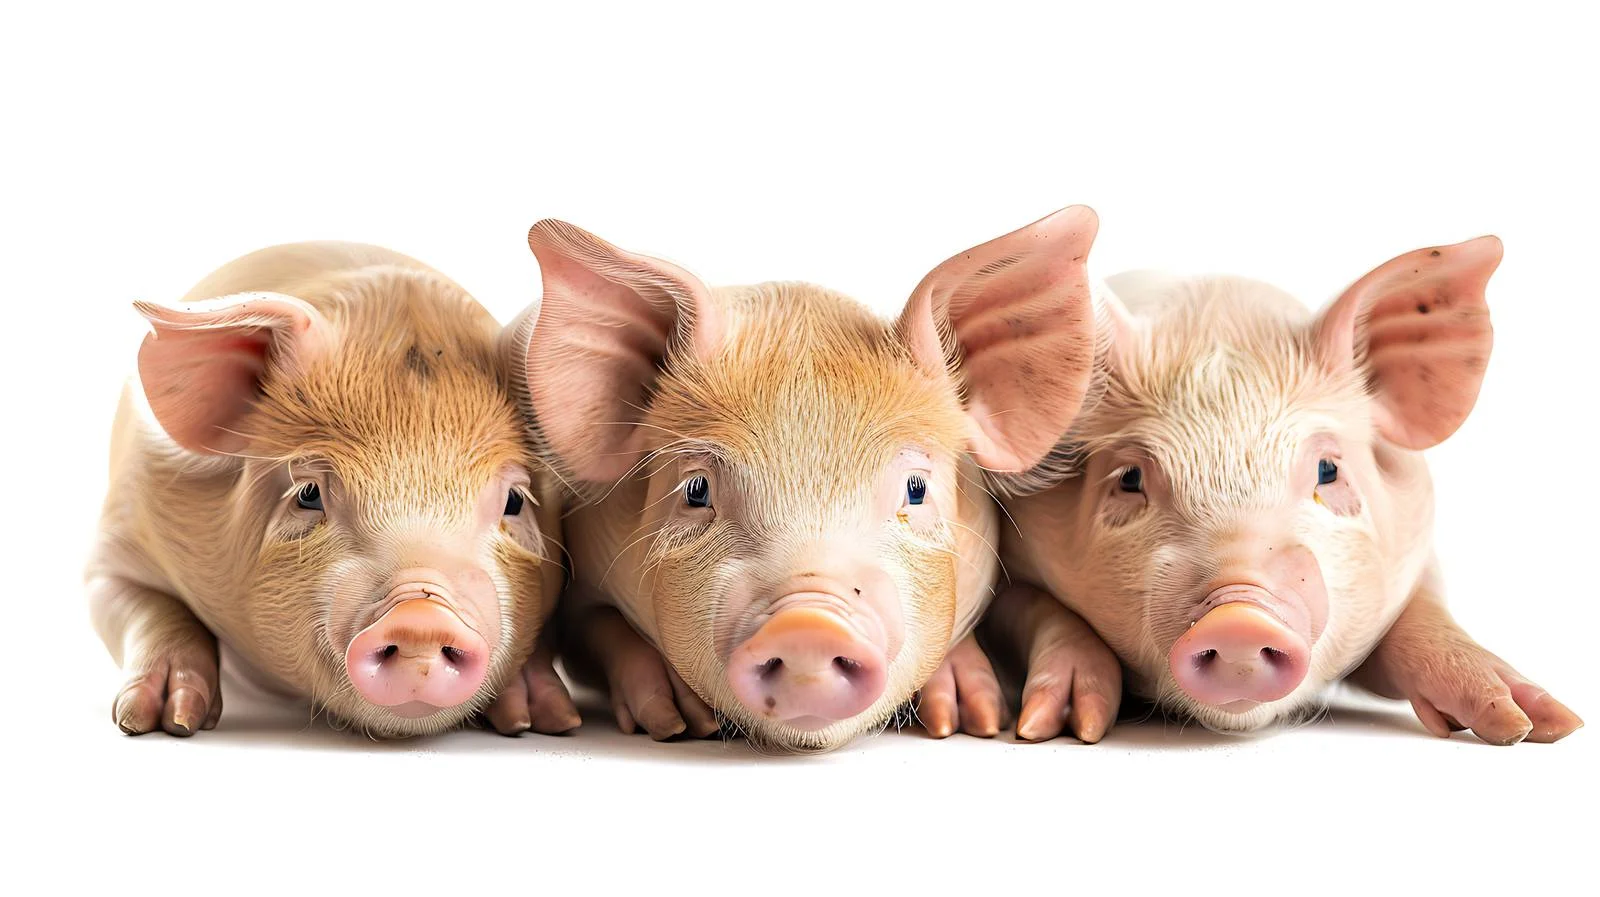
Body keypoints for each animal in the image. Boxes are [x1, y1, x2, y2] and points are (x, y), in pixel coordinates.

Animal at [88, 241, 580, 738]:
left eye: (514, 501)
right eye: (308, 493)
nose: (421, 618)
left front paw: (541, 721)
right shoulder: (118, 539)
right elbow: (141, 604)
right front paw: (159, 721)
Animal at [504, 208, 1118, 751]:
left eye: (916, 489)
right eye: (696, 491)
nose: (809, 624)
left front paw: (984, 720)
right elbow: (593, 627)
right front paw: (679, 720)